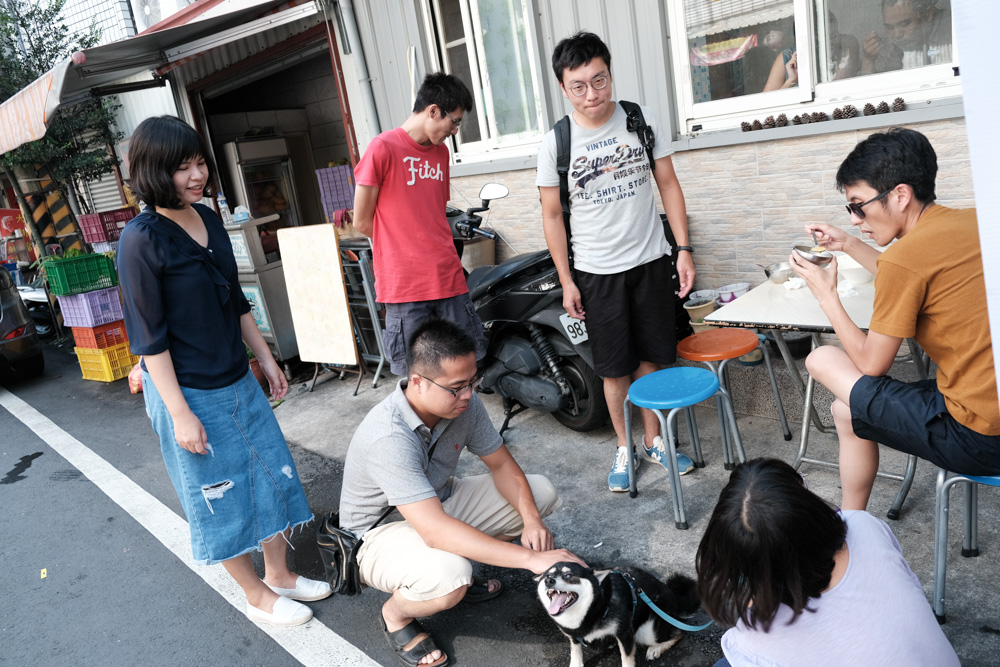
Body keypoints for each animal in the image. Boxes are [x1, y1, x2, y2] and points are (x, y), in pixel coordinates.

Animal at [536, 564, 700, 667]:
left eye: (568, 575)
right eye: (547, 575)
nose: (548, 580)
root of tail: (674, 597)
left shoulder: (624, 633)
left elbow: (626, 659)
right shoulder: (573, 636)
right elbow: (575, 654)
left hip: (646, 631)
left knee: (679, 633)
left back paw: (656, 649)